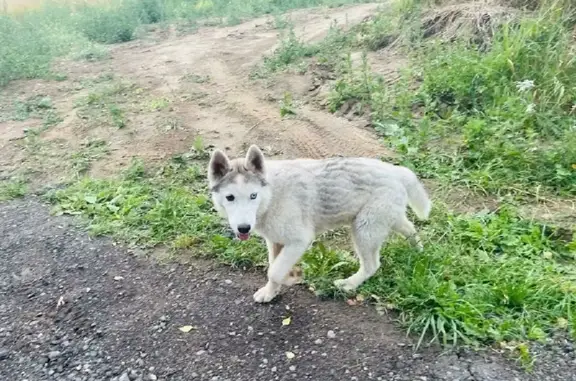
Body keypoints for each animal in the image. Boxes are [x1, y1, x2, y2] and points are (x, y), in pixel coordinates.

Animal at [208, 145, 432, 302]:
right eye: (230, 197)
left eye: (253, 196)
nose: (244, 228)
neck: (271, 195)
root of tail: (395, 171)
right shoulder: (275, 241)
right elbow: (273, 268)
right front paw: (270, 292)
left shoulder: (299, 241)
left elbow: (275, 271)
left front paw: (292, 276)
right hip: (385, 221)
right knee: (410, 228)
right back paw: (418, 251)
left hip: (364, 230)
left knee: (372, 265)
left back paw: (349, 284)